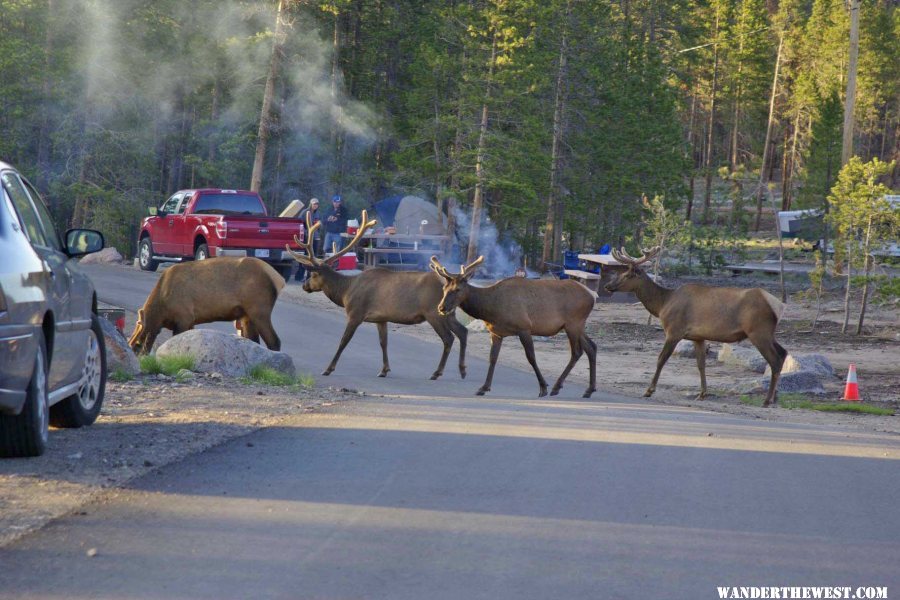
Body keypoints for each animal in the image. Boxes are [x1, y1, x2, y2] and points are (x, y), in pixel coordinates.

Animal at [128, 256, 284, 352]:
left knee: (274, 341)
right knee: (254, 341)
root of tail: (279, 279)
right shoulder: (190, 321)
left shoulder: (184, 316)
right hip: (247, 315)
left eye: (137, 344)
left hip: (259, 311)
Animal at [286, 210, 472, 380]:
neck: (345, 292)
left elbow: (343, 341)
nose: (304, 285)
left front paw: (328, 369)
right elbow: (384, 343)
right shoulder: (381, 318)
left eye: (313, 275)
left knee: (448, 338)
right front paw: (384, 370)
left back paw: (437, 372)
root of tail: (446, 284)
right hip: (448, 311)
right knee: (462, 331)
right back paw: (462, 370)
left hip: (434, 312)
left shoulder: (356, 313)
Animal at [430, 254, 596, 398]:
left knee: (576, 352)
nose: (441, 307)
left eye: (457, 289)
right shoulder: (496, 332)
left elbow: (531, 358)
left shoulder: (524, 327)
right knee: (591, 347)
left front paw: (543, 387)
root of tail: (592, 295)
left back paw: (556, 387)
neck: (491, 309)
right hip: (577, 325)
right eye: (444, 289)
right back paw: (589, 390)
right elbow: (493, 358)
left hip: (573, 323)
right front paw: (484, 387)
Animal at [604, 246, 788, 406]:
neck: (662, 305)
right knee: (783, 352)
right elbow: (701, 364)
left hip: (758, 331)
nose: (607, 286)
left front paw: (649, 390)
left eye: (627, 275)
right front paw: (702, 393)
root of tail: (779, 306)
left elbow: (661, 359)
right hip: (768, 332)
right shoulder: (698, 337)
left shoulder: (674, 331)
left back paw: (767, 400)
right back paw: (774, 397)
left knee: (775, 360)